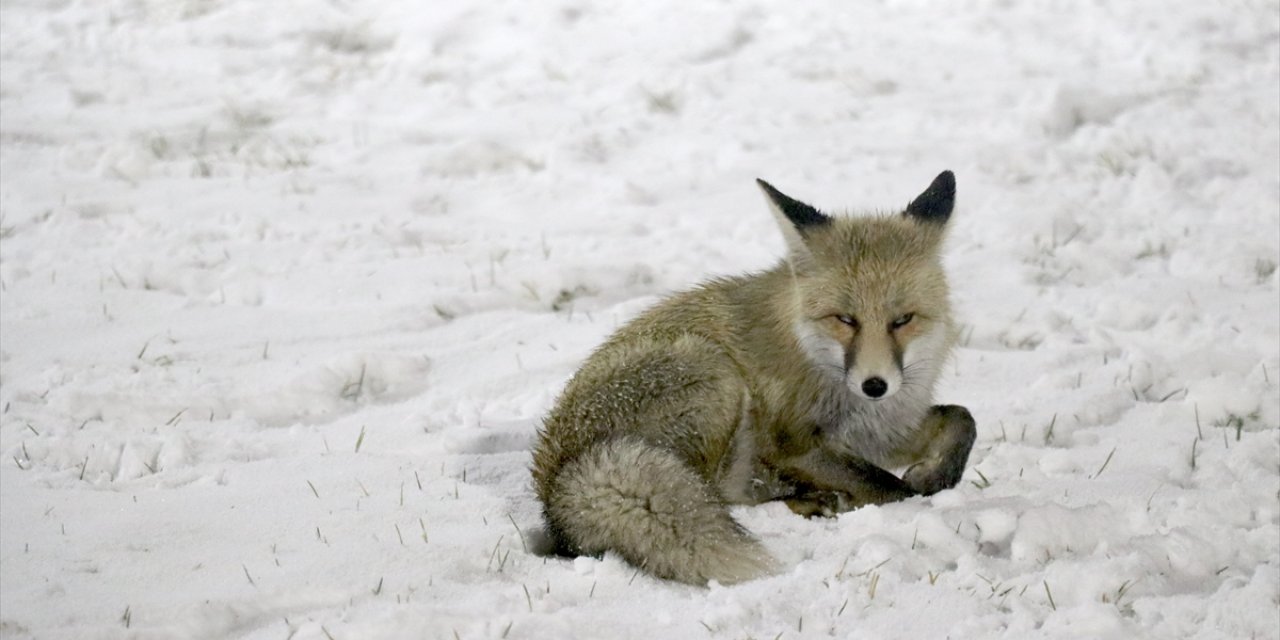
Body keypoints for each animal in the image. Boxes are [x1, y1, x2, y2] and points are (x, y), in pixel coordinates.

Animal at [529, 170, 977, 586]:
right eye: (845, 319)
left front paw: (936, 473)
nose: (875, 385)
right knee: (723, 497)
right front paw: (909, 493)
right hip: (717, 375)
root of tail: (556, 489)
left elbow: (961, 418)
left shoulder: (882, 431)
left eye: (903, 320)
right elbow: (892, 487)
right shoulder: (792, 446)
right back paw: (813, 501)